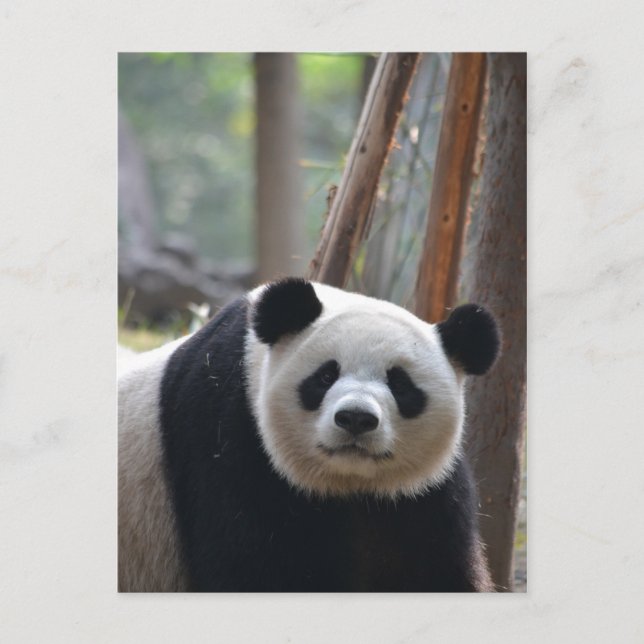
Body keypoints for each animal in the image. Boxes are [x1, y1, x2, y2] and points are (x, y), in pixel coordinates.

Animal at [118, 277, 500, 592]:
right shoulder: (227, 439)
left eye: (401, 385)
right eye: (325, 376)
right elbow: (251, 566)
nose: (356, 418)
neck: (350, 487)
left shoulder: (421, 495)